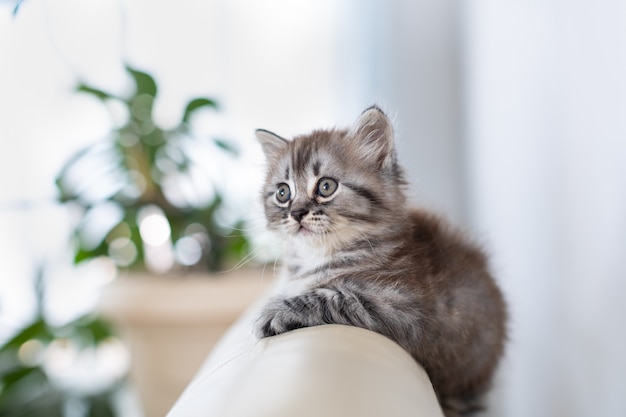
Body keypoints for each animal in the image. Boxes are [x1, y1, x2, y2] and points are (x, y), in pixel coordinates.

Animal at [251, 105, 504, 414]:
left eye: (326, 187)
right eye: (283, 193)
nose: (296, 213)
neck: (318, 256)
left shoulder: (402, 307)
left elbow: (333, 297)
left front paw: (274, 312)